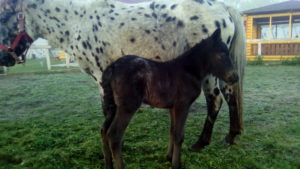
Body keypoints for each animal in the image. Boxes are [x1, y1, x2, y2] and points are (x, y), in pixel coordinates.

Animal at [0, 0, 245, 166]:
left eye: (3, 17)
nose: (5, 59)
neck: (78, 22)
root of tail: (224, 7)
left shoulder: (100, 78)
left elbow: (107, 121)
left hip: (212, 76)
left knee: (216, 100)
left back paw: (202, 142)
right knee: (229, 94)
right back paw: (231, 136)